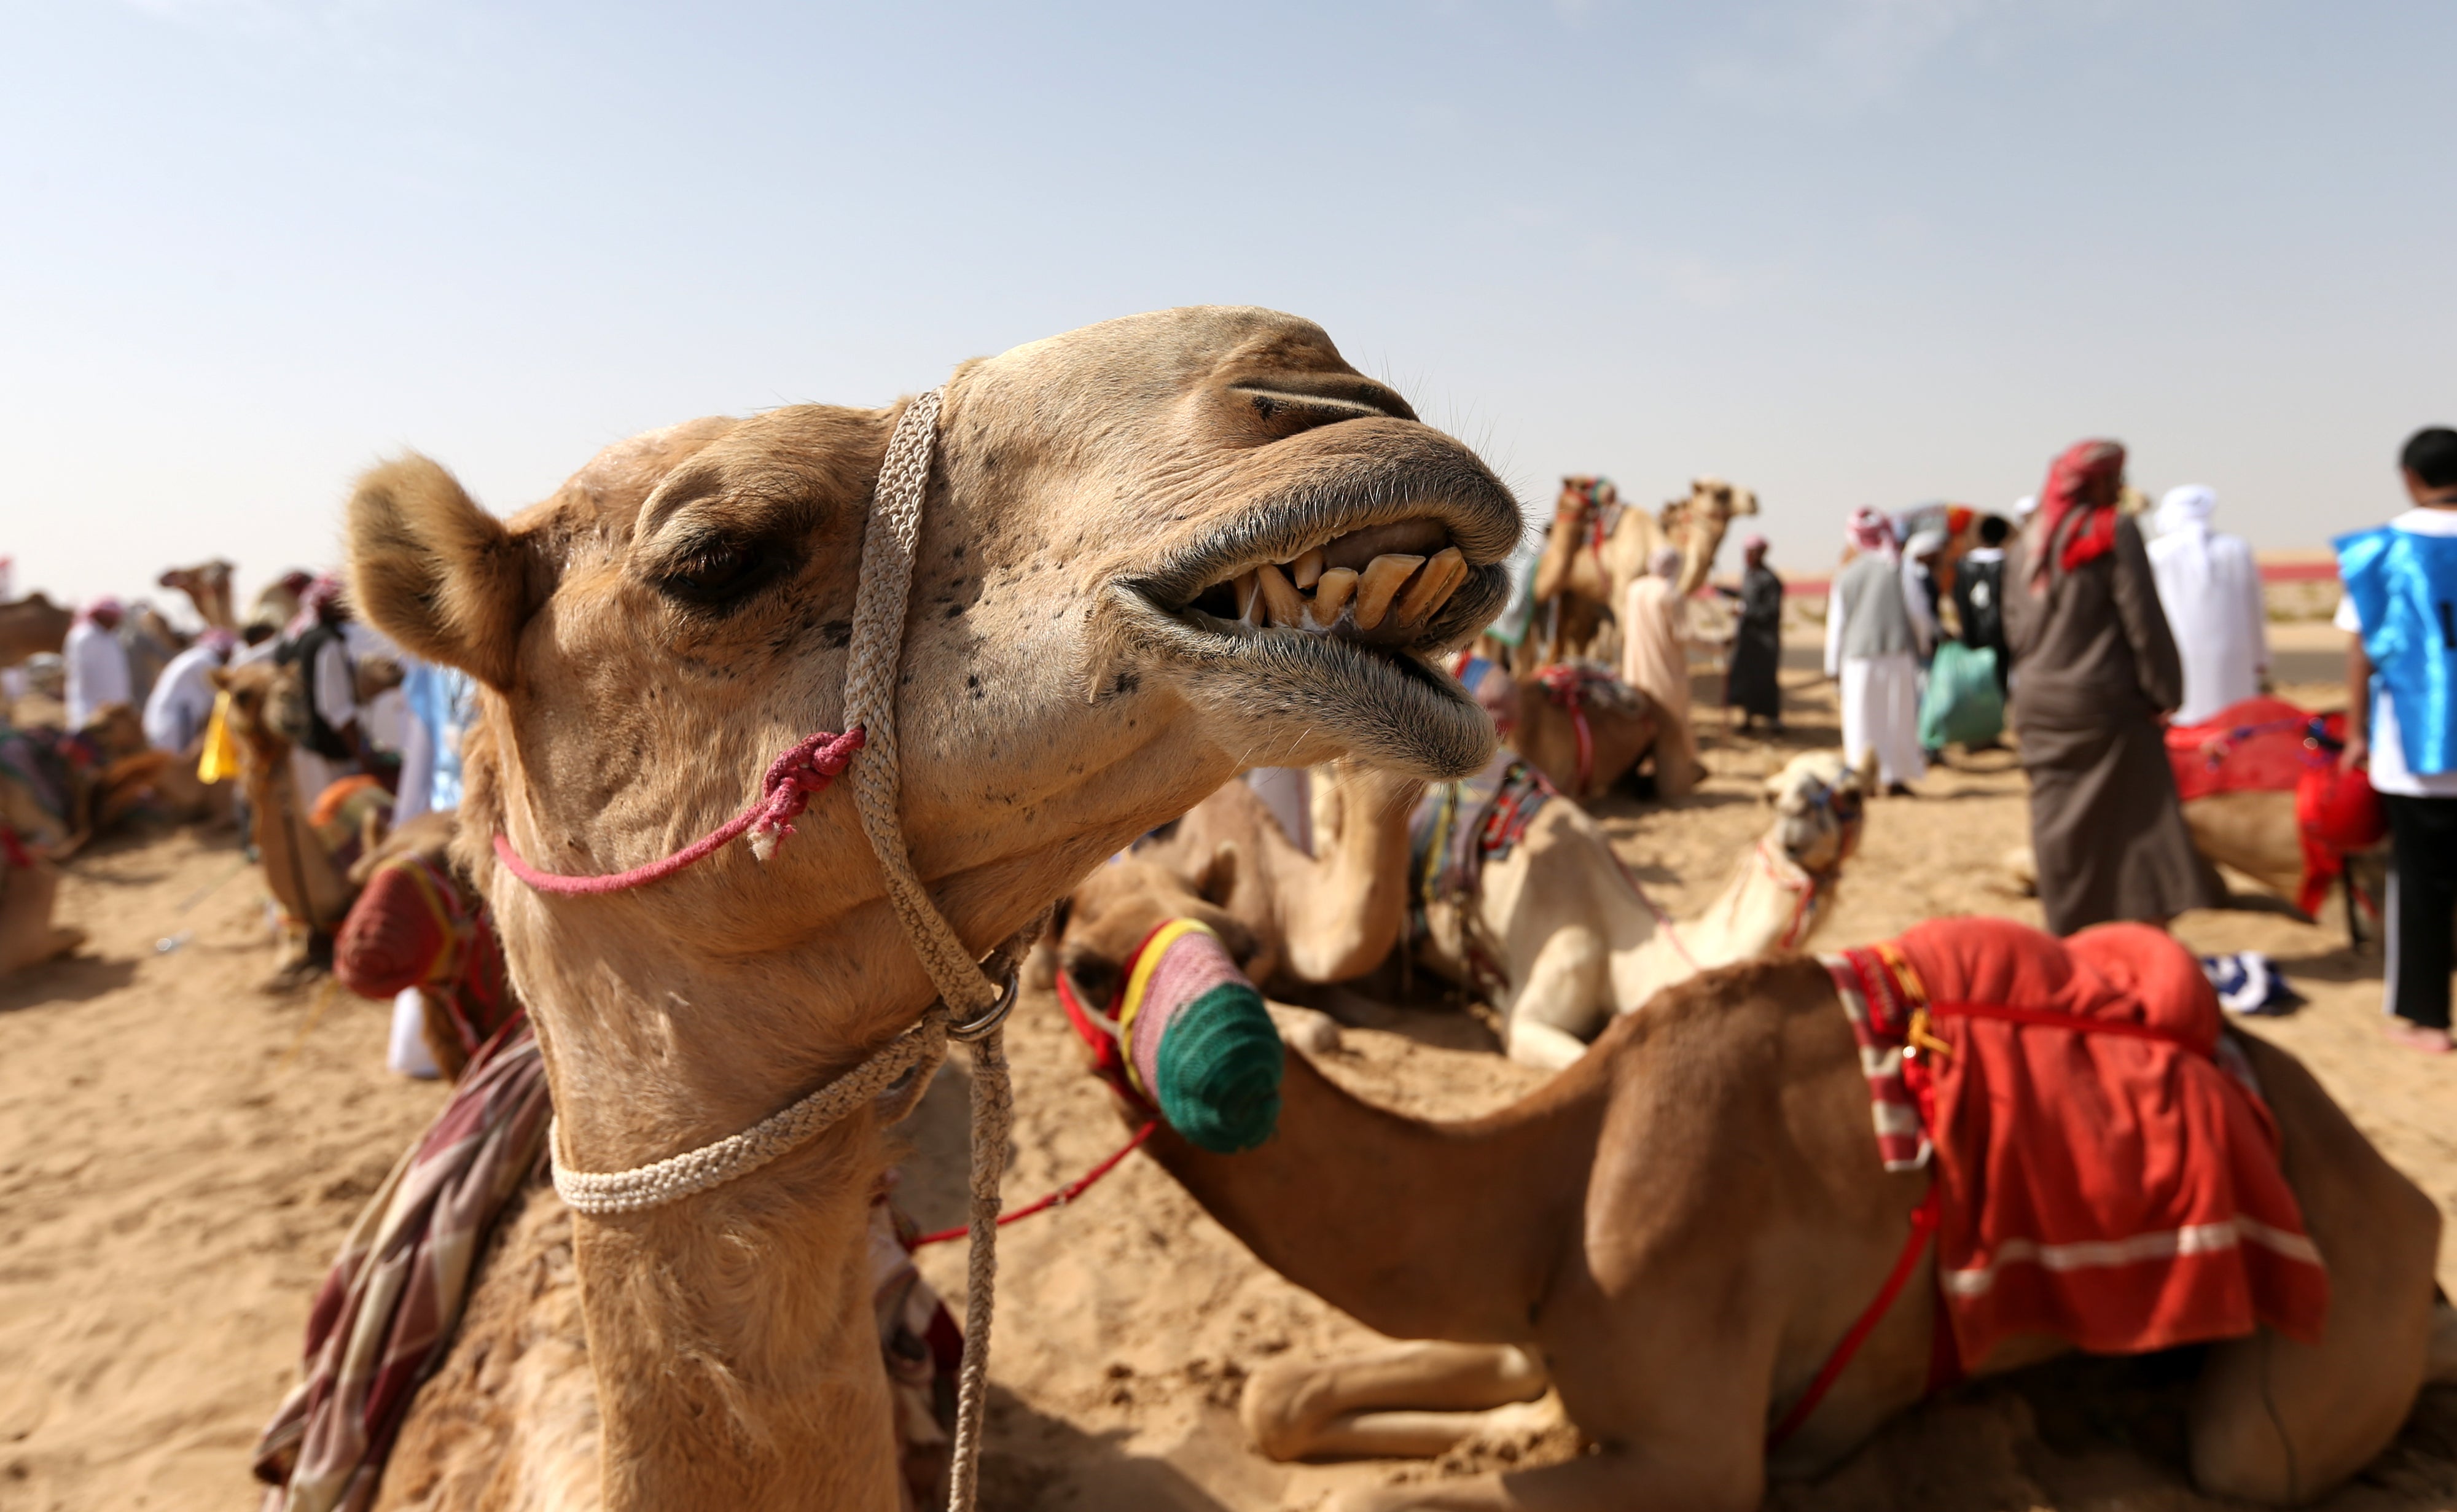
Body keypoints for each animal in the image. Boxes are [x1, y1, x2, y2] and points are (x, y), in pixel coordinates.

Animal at [1047, 932, 2447, 1512]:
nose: (1055, 957)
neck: (1551, 1175)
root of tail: (2406, 1199)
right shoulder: (1543, 1325)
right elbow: (1278, 1394)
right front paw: (1480, 1428)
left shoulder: (1696, 1451)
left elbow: (1374, 1502)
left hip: (2316, 1352)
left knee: (2247, 1456)